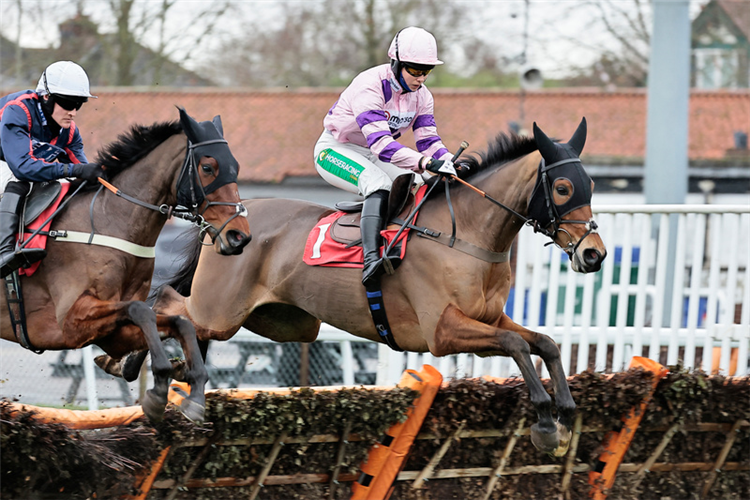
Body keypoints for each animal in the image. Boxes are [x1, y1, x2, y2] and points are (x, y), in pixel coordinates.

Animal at [0, 107, 253, 424]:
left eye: (236, 167)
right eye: (208, 167)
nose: (240, 236)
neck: (110, 223)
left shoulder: (110, 333)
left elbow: (178, 322)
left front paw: (191, 389)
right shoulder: (70, 323)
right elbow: (141, 310)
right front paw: (158, 388)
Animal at [141, 117, 608, 454]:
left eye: (591, 185)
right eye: (563, 187)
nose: (594, 254)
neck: (467, 234)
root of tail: (226, 220)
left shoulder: (491, 319)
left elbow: (544, 343)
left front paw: (567, 413)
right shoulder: (442, 332)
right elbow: (516, 347)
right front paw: (545, 420)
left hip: (282, 322)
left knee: (185, 319)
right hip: (220, 310)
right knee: (167, 304)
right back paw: (151, 377)